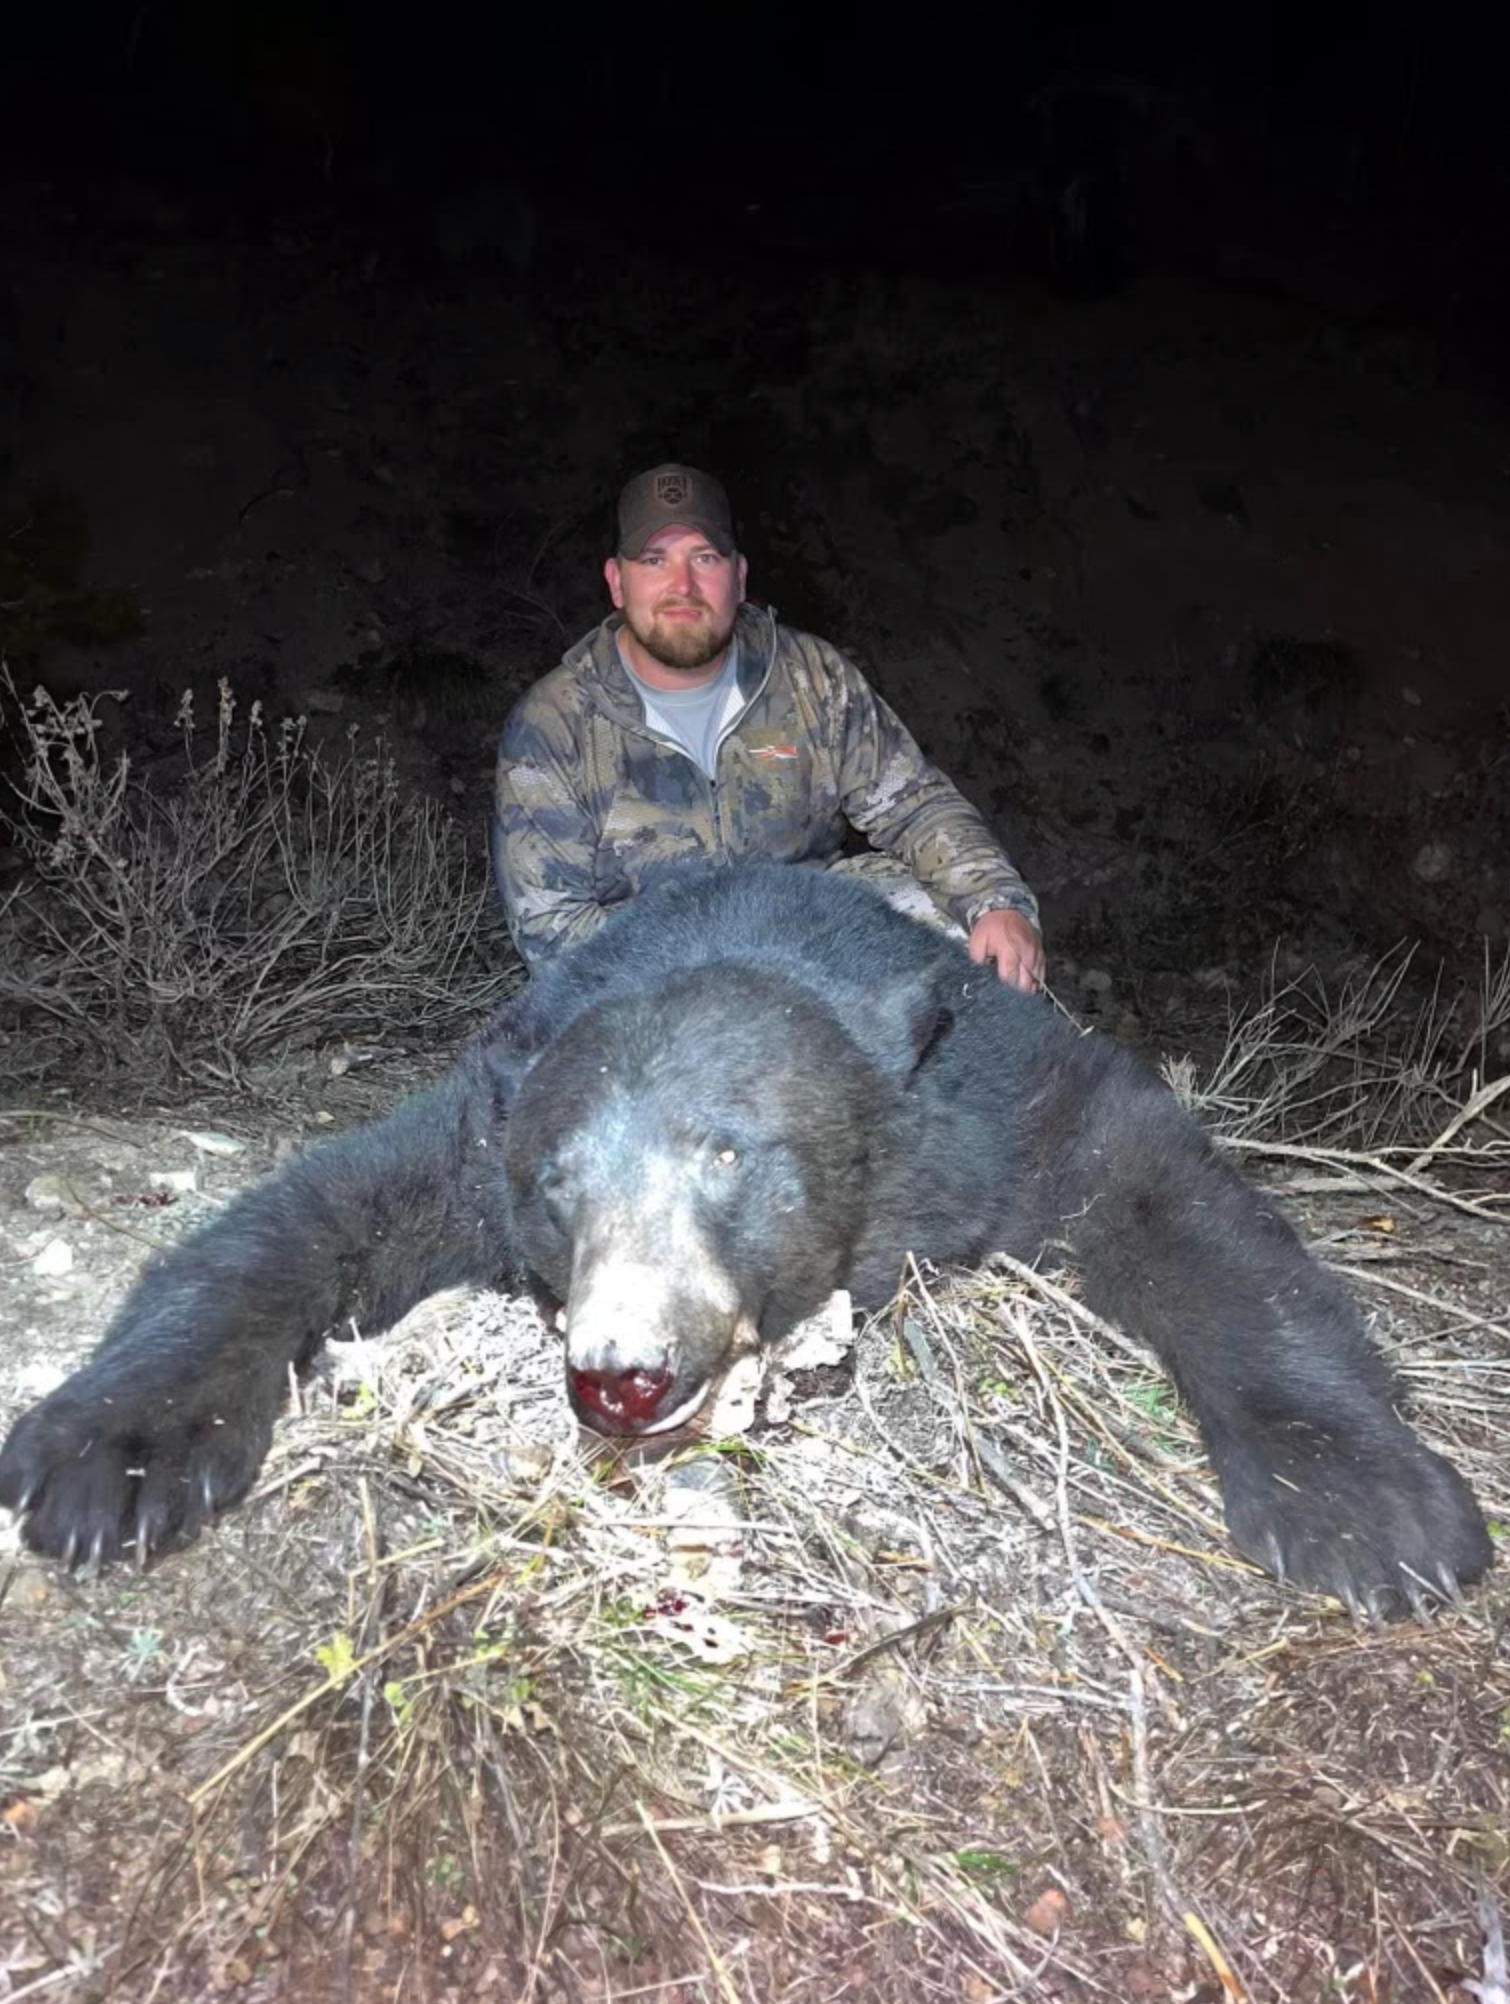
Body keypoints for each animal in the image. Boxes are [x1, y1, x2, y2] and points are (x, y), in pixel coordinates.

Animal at [0, 862, 1492, 1617]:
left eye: (729, 1157)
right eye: (558, 1181)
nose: (622, 1375)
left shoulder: (993, 1107)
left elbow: (1179, 1204)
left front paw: (1365, 1512)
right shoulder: (475, 1138)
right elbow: (306, 1216)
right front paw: (110, 1455)